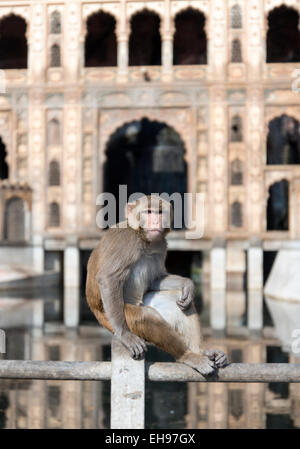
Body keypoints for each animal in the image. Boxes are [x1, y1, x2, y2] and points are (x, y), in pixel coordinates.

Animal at [85, 194, 227, 372]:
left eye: (159, 212)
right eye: (148, 212)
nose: (155, 221)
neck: (143, 237)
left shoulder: (161, 244)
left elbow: (155, 279)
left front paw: (187, 284)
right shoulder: (125, 240)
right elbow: (108, 279)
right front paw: (125, 335)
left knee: (176, 301)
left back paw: (201, 351)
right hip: (110, 317)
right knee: (146, 316)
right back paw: (188, 356)